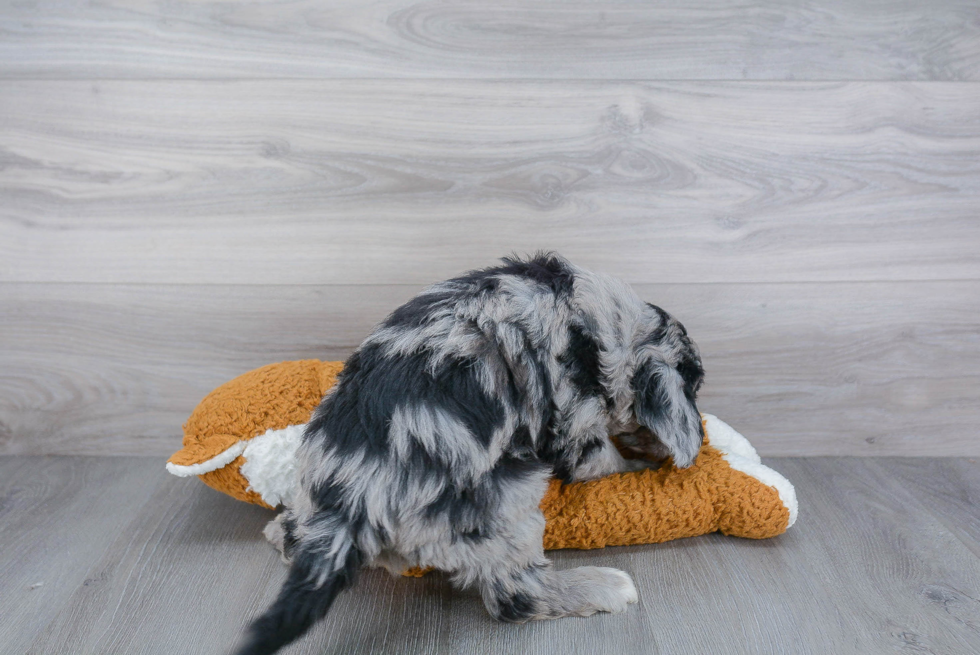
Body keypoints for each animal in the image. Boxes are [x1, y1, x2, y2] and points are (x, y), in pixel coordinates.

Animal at [237, 252, 704, 655]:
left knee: (290, 534)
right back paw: (600, 586)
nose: (697, 439)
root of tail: (349, 505)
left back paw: (281, 530)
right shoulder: (576, 422)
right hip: (507, 501)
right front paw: (640, 463)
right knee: (517, 597)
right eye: (694, 389)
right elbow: (604, 458)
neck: (605, 324)